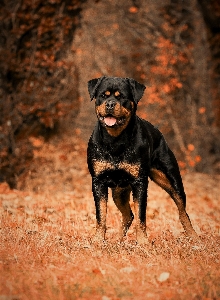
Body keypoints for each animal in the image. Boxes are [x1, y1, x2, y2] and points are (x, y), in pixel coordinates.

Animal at [87, 75, 198, 244]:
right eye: (103, 95)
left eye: (122, 97)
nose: (110, 104)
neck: (115, 140)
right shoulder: (98, 181)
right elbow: (101, 215)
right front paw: (98, 239)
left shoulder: (139, 182)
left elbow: (141, 215)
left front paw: (143, 242)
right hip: (118, 192)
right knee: (128, 215)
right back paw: (118, 240)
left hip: (172, 180)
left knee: (182, 210)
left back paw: (193, 235)